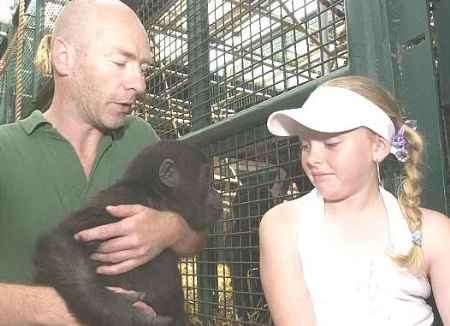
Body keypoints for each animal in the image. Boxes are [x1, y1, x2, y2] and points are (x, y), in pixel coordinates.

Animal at [33, 140, 221, 326]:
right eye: (206, 177)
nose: (216, 190)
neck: (158, 198)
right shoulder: (120, 200)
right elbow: (62, 241)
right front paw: (118, 310)